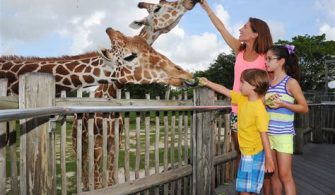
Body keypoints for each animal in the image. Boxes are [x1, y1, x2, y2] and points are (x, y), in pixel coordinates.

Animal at [0, 27, 196, 189]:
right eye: (130, 56)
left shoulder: (115, 141)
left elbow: (110, 174)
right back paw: (85, 185)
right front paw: (94, 186)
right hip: (79, 141)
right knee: (83, 163)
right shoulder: (98, 142)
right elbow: (97, 175)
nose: (185, 75)